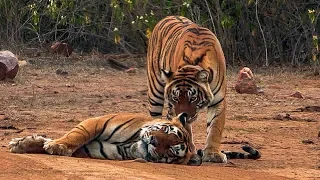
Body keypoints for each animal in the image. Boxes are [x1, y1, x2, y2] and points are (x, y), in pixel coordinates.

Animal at [148, 16, 228, 162]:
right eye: (175, 98)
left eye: (193, 98)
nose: (183, 114)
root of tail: (167, 17)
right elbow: (185, 130)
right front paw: (191, 151)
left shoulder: (218, 100)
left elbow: (215, 128)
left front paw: (212, 153)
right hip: (155, 92)